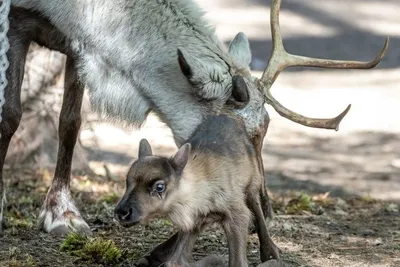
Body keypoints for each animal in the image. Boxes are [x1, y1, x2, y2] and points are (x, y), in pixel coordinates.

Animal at [115, 115, 278, 267]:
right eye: (127, 181)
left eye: (159, 187)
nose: (122, 213)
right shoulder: (193, 221)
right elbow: (175, 261)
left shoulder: (237, 213)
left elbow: (238, 262)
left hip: (253, 184)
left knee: (257, 209)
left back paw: (271, 253)